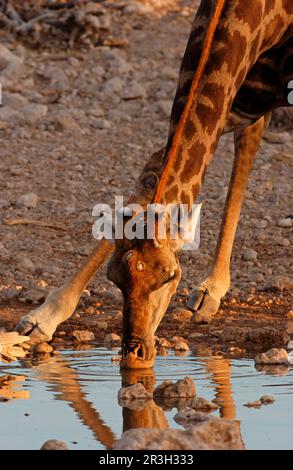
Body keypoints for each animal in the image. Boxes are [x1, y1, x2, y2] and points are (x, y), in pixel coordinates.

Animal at [16, 0, 292, 368]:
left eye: (170, 276)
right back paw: (210, 292)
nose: (135, 354)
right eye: (114, 278)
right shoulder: (250, 87)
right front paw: (43, 317)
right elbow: (150, 179)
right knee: (249, 139)